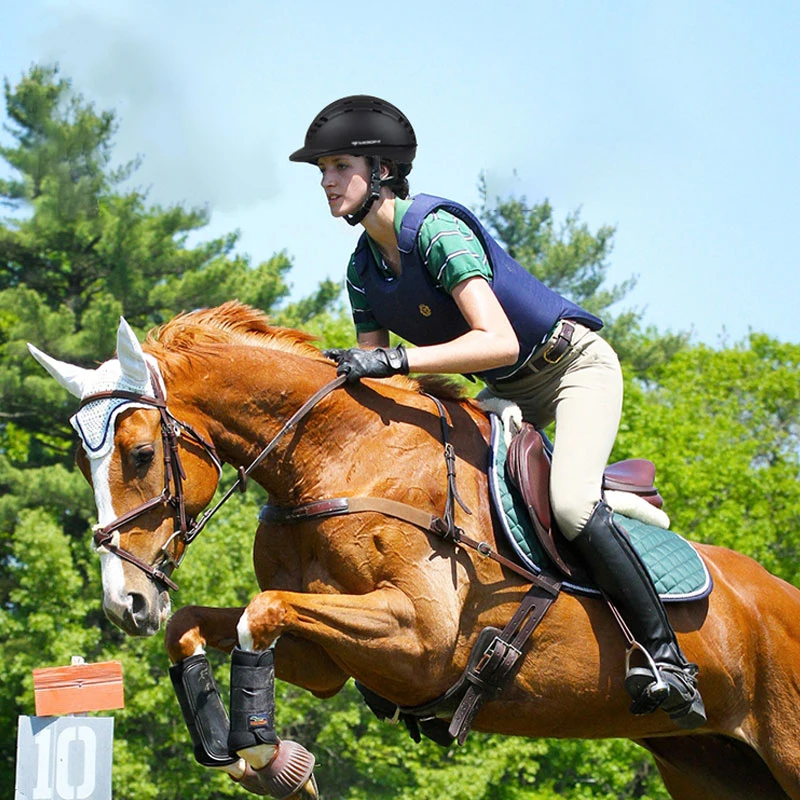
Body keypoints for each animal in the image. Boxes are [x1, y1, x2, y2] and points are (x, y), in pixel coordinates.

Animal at [29, 304, 800, 796]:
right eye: (81, 464)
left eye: (137, 455)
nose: (125, 603)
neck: (337, 459)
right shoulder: (325, 660)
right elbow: (199, 625)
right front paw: (241, 749)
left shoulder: (419, 640)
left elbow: (261, 610)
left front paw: (264, 751)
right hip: (711, 766)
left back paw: (665, 673)